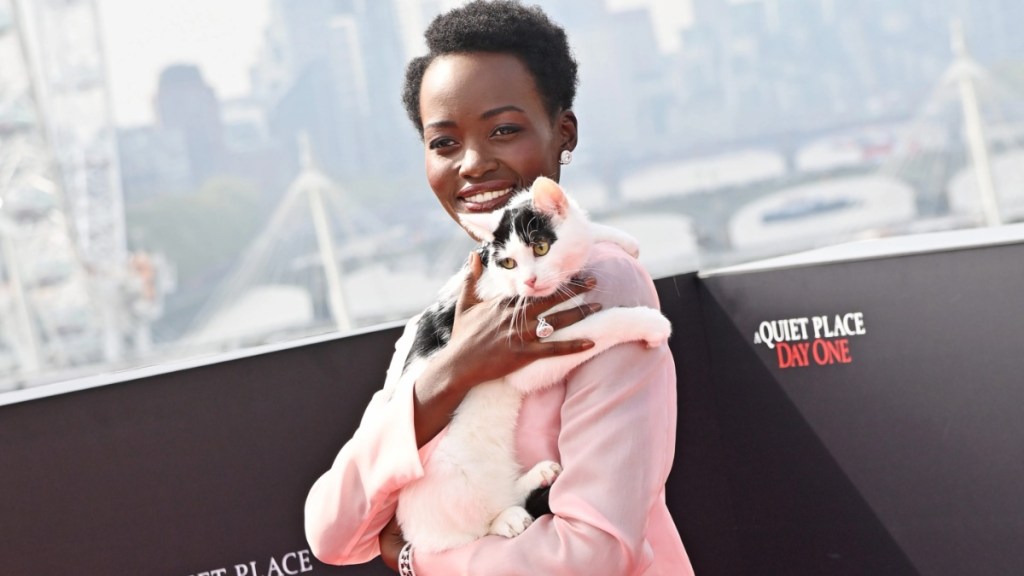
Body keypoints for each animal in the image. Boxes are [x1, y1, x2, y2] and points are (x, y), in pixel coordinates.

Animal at [393, 176, 671, 553]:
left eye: (540, 248)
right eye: (509, 263)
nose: (529, 282)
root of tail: (409, 529)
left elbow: (585, 228)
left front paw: (618, 238)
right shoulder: (525, 356)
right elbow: (600, 325)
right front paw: (649, 322)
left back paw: (537, 476)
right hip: (456, 494)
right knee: (468, 533)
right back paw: (507, 519)